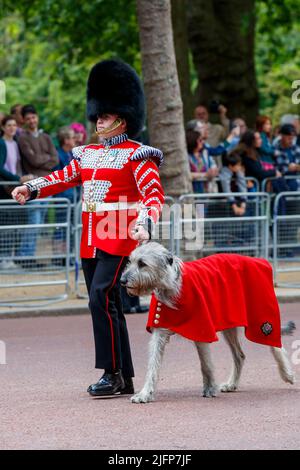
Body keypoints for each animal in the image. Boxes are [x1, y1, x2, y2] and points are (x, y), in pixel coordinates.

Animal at [120, 242, 296, 404]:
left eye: (142, 263)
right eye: (130, 261)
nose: (122, 280)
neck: (171, 286)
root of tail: (258, 260)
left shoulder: (202, 328)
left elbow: (205, 363)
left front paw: (210, 388)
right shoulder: (160, 328)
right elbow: (153, 363)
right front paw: (145, 393)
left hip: (260, 318)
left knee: (275, 344)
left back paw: (287, 374)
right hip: (229, 324)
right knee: (239, 355)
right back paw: (232, 384)